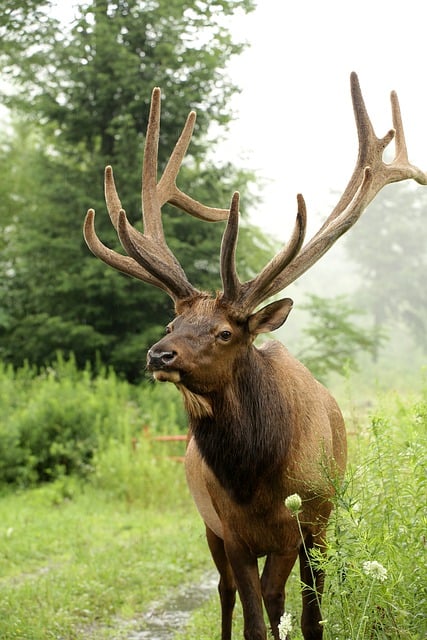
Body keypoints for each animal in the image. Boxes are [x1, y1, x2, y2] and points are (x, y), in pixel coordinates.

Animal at [83, 72, 427, 636]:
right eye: (172, 323)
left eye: (225, 332)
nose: (159, 355)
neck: (255, 479)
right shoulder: (232, 529)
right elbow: (253, 616)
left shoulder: (307, 522)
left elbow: (302, 611)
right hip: (210, 530)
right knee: (226, 593)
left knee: (285, 598)